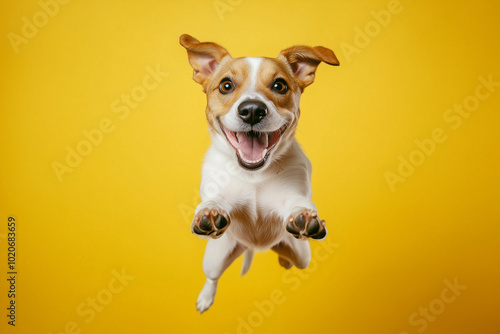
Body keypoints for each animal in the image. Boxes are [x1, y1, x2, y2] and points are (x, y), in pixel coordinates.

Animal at [180, 34, 340, 314]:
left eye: (279, 85)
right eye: (226, 85)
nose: (253, 110)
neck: (253, 174)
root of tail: (254, 246)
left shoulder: (292, 192)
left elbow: (298, 203)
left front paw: (303, 215)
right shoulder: (219, 192)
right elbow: (214, 200)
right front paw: (209, 212)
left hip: (302, 254)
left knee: (291, 257)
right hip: (215, 257)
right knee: (212, 277)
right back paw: (206, 297)